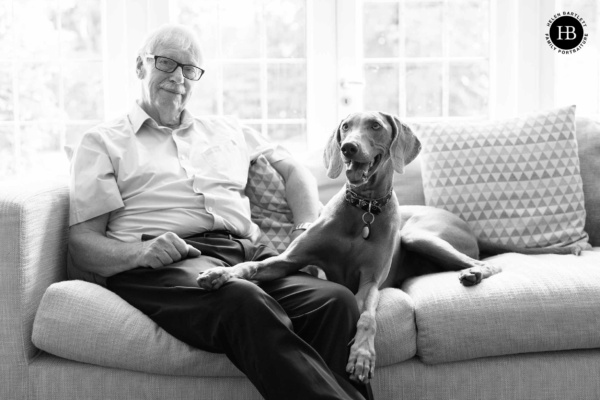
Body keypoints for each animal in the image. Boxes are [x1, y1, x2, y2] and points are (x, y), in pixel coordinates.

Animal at [197, 111, 580, 384]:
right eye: (346, 127)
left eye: (375, 126)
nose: (348, 148)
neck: (364, 209)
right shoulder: (289, 260)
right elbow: (250, 267)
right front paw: (218, 273)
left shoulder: (370, 282)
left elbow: (365, 316)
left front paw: (362, 356)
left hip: (419, 236)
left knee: (490, 263)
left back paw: (472, 273)